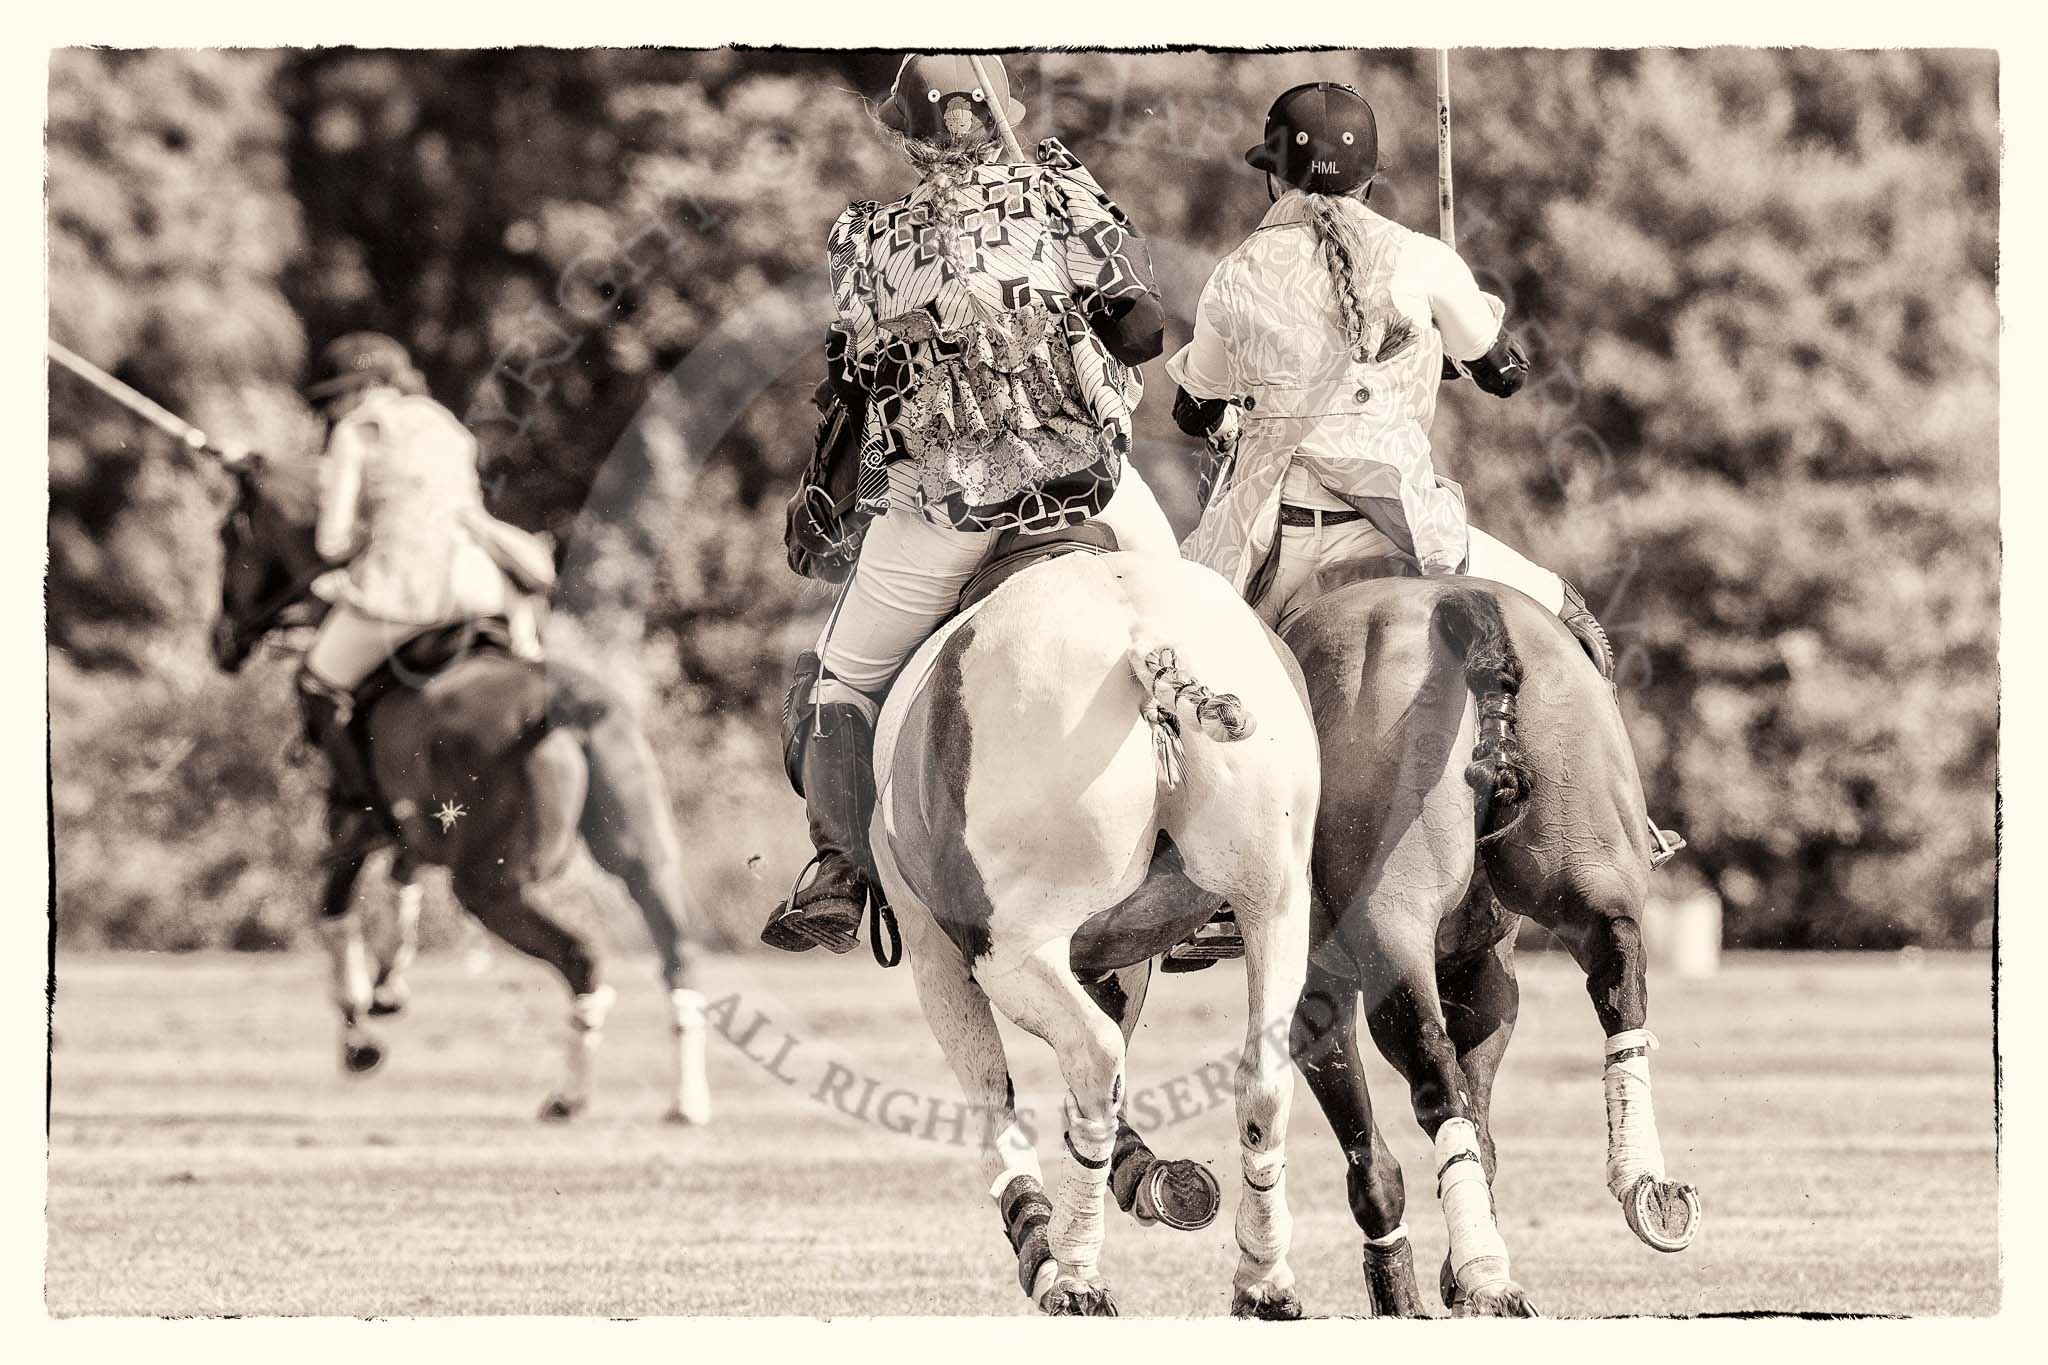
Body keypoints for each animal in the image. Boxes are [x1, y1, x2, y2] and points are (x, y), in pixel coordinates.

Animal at [209, 454, 712, 1129]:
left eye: (227, 537)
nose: (221, 642)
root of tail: (571, 709)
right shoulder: (416, 831)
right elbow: (403, 889)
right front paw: (388, 988)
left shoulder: (354, 822)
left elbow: (335, 910)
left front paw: (360, 1035)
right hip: (642, 856)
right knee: (679, 949)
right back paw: (687, 1101)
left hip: (491, 885)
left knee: (581, 958)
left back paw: (569, 1097)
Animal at [868, 470, 1318, 1309]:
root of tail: (1144, 652)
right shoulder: (1124, 943)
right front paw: (1147, 1176)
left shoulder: (931, 944)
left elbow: (991, 1089)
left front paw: (1041, 1241)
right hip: (1275, 901)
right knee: (1262, 1072)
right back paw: (1263, 1278)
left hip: (1012, 941)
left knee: (1090, 1054)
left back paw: (1074, 1274)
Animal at [1277, 573, 1695, 1309]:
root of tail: (1458, 606)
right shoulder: (1478, 971)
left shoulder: (1319, 974)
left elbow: (1370, 1154)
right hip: (1581, 852)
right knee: (1619, 976)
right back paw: (1640, 1182)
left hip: (1390, 914)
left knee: (1430, 1065)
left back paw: (1484, 1271)